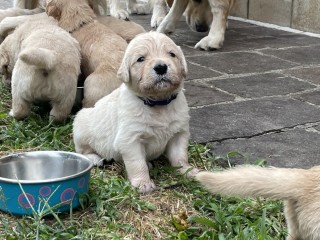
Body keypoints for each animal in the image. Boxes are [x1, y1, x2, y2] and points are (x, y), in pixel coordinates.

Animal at [73, 31, 198, 193]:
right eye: (141, 59)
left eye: (172, 54)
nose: (161, 67)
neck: (158, 103)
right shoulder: (130, 140)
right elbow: (137, 163)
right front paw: (142, 183)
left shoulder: (179, 133)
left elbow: (180, 156)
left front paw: (187, 171)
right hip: (81, 126)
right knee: (83, 150)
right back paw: (94, 158)